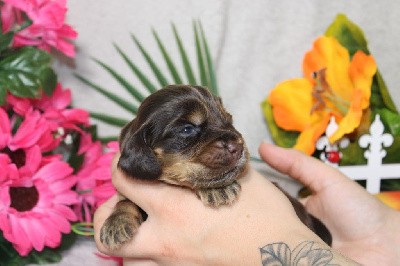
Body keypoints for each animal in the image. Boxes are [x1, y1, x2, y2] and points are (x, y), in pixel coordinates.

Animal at [99, 84, 332, 249]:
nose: (238, 145)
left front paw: (218, 189)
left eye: (228, 119)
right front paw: (116, 223)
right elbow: (125, 201)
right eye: (187, 129)